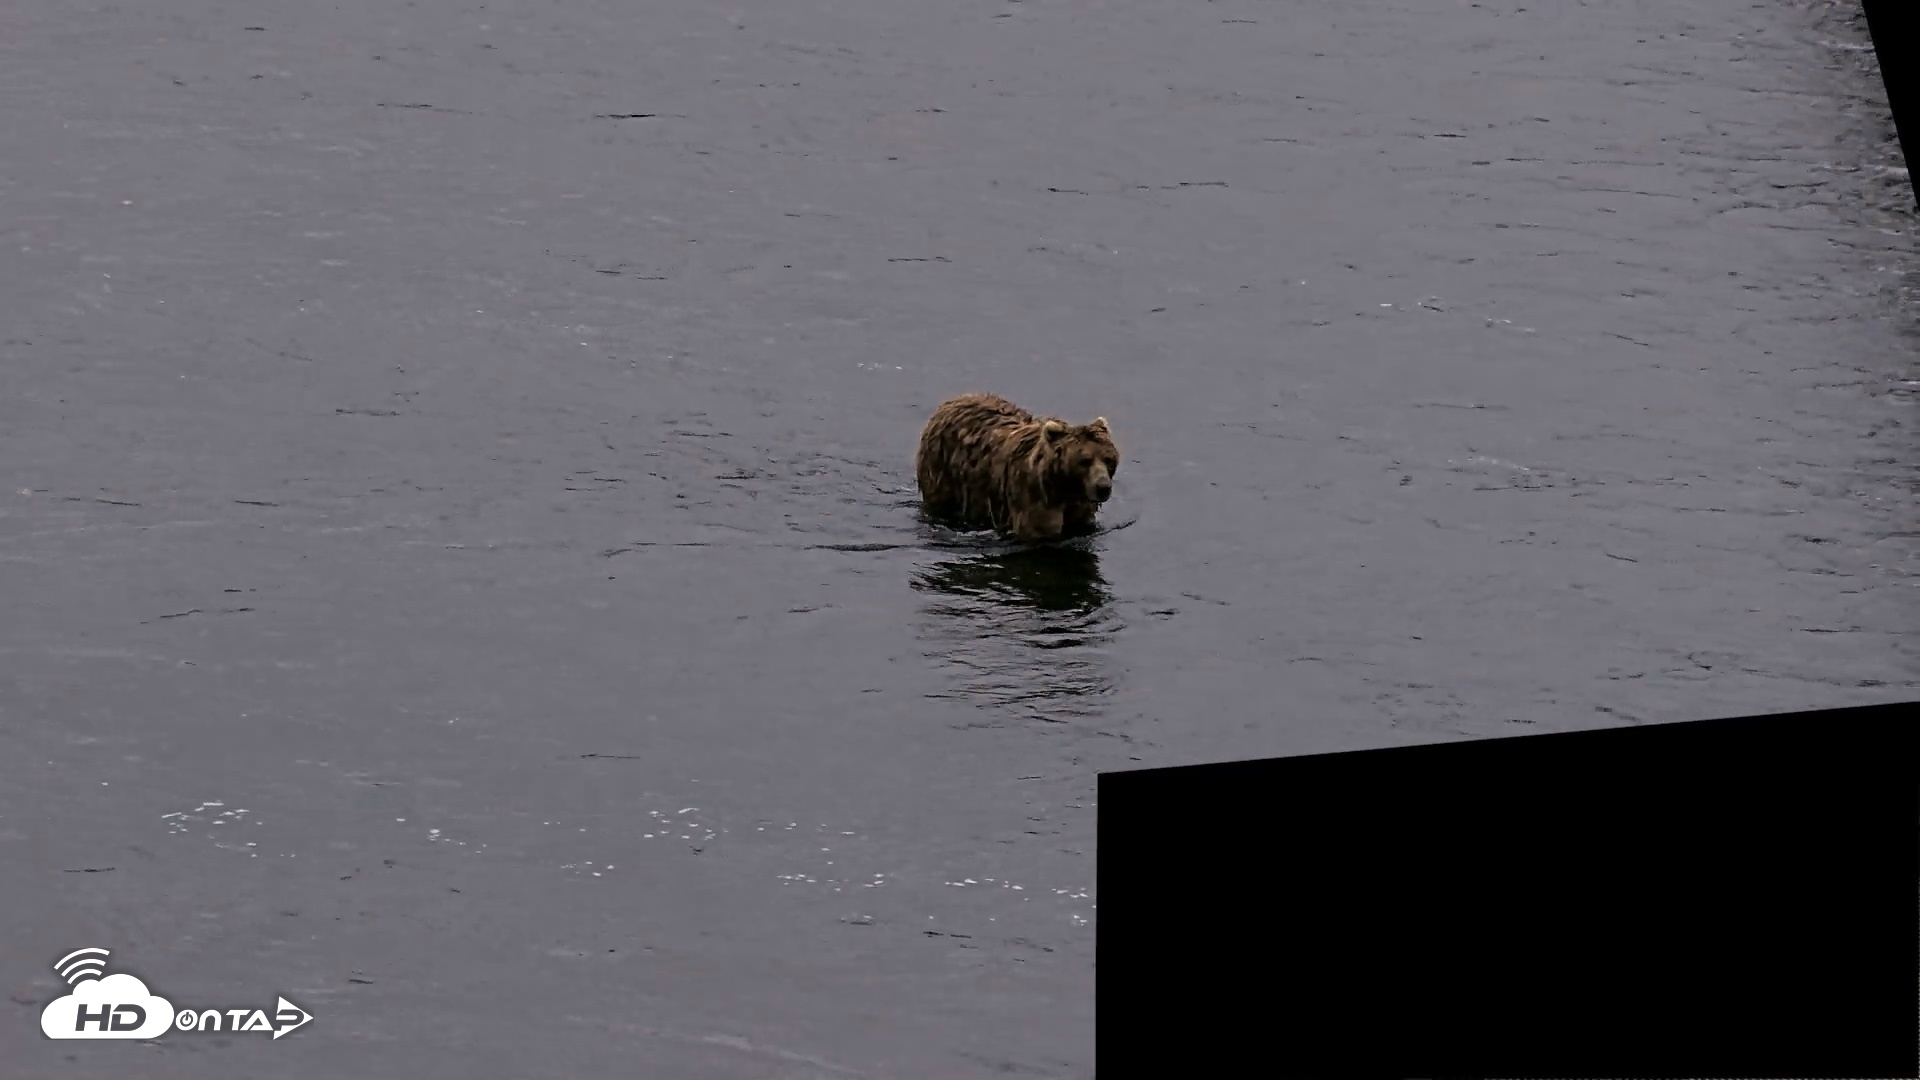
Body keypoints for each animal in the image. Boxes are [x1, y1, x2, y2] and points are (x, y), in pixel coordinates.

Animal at [914, 393, 1120, 542]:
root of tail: (952, 400)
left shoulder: (1080, 507)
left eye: (1109, 459)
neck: (1064, 486)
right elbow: (1040, 530)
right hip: (941, 469)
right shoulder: (1033, 498)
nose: (1103, 487)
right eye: (1084, 461)